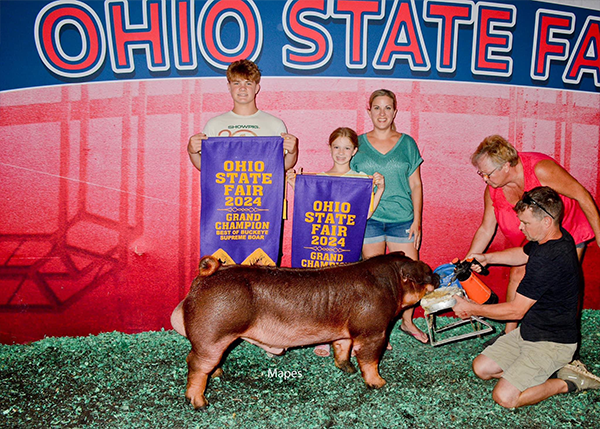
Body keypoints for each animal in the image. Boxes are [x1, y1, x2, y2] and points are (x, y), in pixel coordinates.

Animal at [180, 251, 438, 408]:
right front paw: (380, 384)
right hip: (212, 334)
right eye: (425, 271)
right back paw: (200, 403)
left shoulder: (344, 333)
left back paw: (218, 374)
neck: (390, 284)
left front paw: (348, 370)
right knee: (195, 363)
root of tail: (207, 275)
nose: (436, 275)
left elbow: (342, 349)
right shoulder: (373, 332)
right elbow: (370, 359)